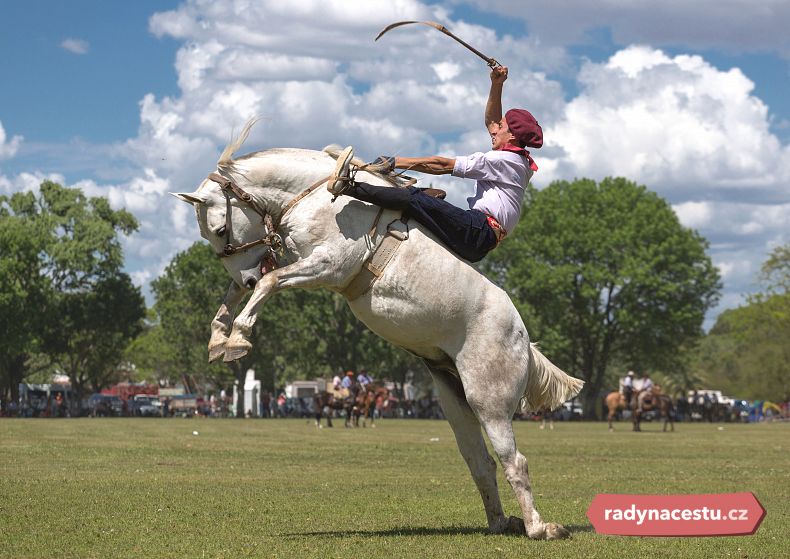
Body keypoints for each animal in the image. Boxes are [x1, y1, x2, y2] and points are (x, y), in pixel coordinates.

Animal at [173, 120, 584, 540]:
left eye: (221, 228)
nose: (248, 273)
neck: (316, 197)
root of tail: (524, 340)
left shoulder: (328, 266)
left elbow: (269, 284)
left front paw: (238, 338)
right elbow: (241, 293)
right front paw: (219, 338)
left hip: (490, 400)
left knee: (514, 460)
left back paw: (540, 527)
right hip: (456, 399)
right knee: (480, 460)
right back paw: (501, 522)